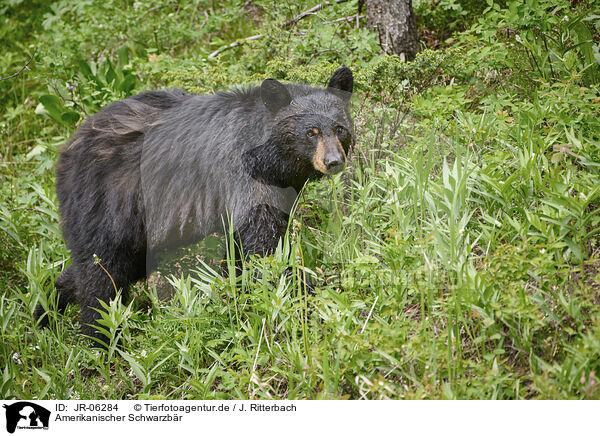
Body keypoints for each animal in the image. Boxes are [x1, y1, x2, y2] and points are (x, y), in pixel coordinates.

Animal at [35, 67, 354, 344]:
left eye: (340, 128)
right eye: (310, 132)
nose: (333, 162)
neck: (268, 160)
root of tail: (67, 150)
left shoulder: (281, 188)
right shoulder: (242, 179)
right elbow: (265, 246)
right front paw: (308, 297)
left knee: (98, 267)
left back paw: (45, 311)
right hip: (108, 200)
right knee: (102, 273)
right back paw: (101, 338)